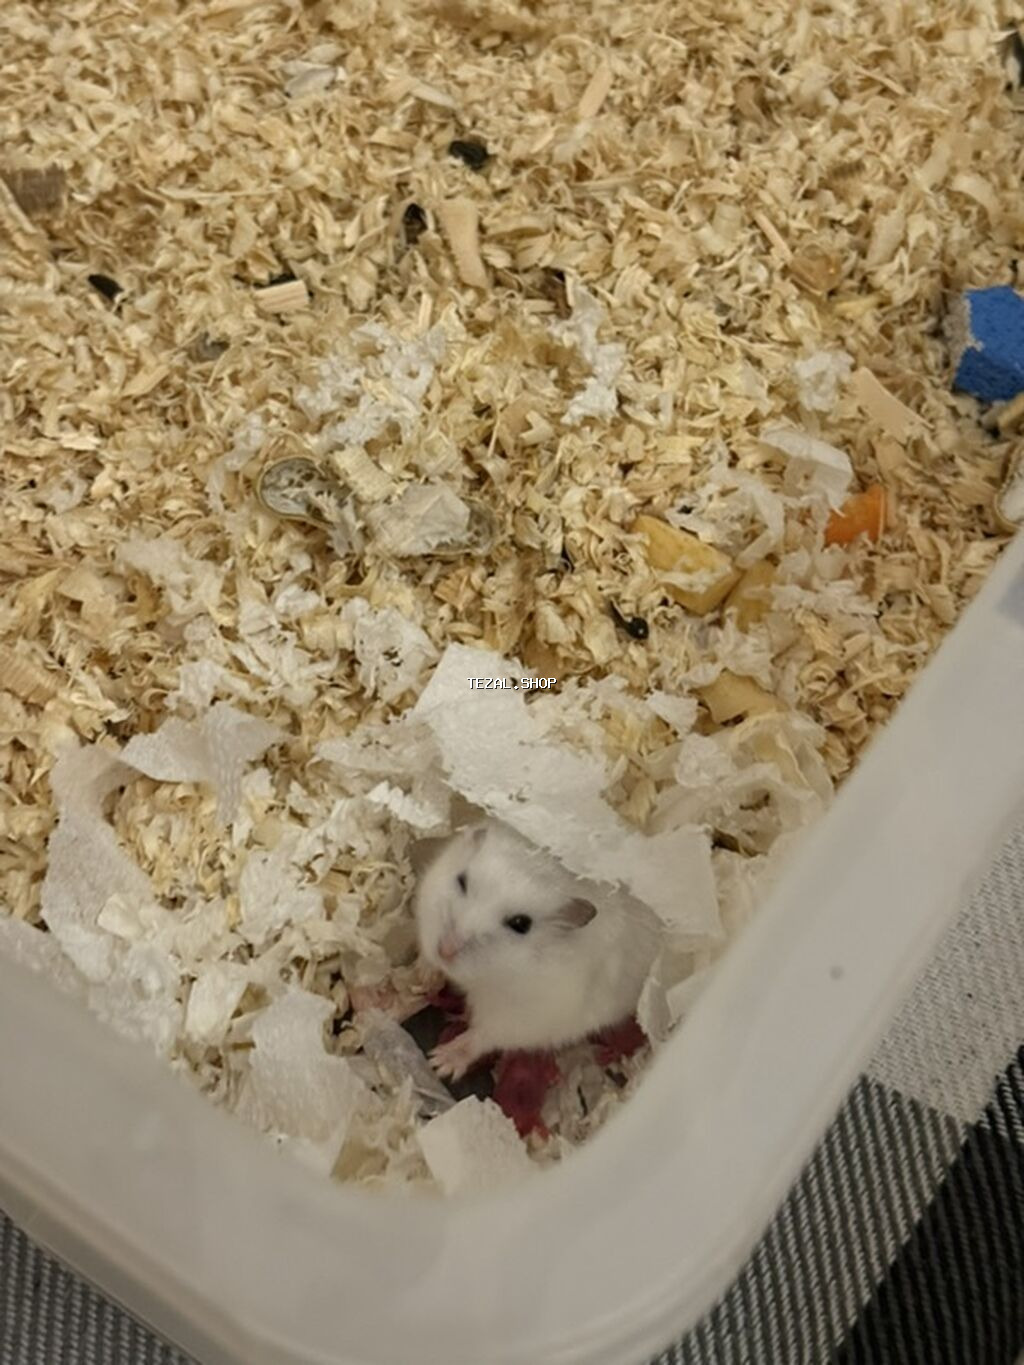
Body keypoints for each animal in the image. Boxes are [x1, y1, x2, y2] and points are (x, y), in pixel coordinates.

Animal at [413, 818, 663, 1080]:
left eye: (521, 924)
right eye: (462, 881)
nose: (444, 951)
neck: (485, 980)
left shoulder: (525, 1018)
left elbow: (482, 1036)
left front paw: (439, 1063)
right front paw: (423, 977)